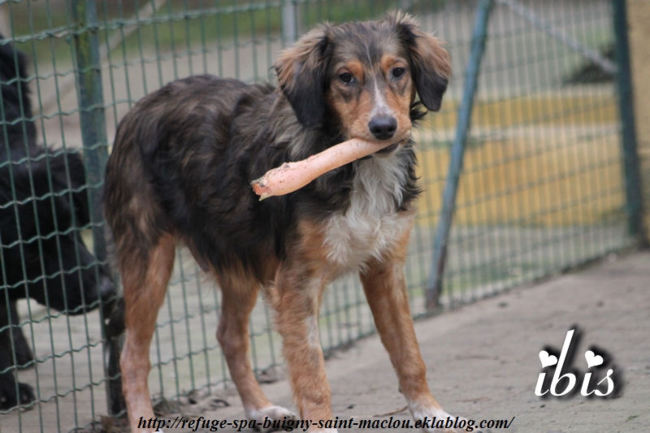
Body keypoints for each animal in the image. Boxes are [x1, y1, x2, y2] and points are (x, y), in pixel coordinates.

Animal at [104, 11, 466, 430]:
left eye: (398, 71)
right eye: (345, 77)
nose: (384, 127)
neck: (352, 163)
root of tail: (139, 107)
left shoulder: (385, 266)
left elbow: (408, 351)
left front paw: (430, 411)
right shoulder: (297, 283)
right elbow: (312, 375)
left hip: (238, 255)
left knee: (228, 336)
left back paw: (260, 408)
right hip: (149, 257)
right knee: (133, 355)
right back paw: (143, 418)